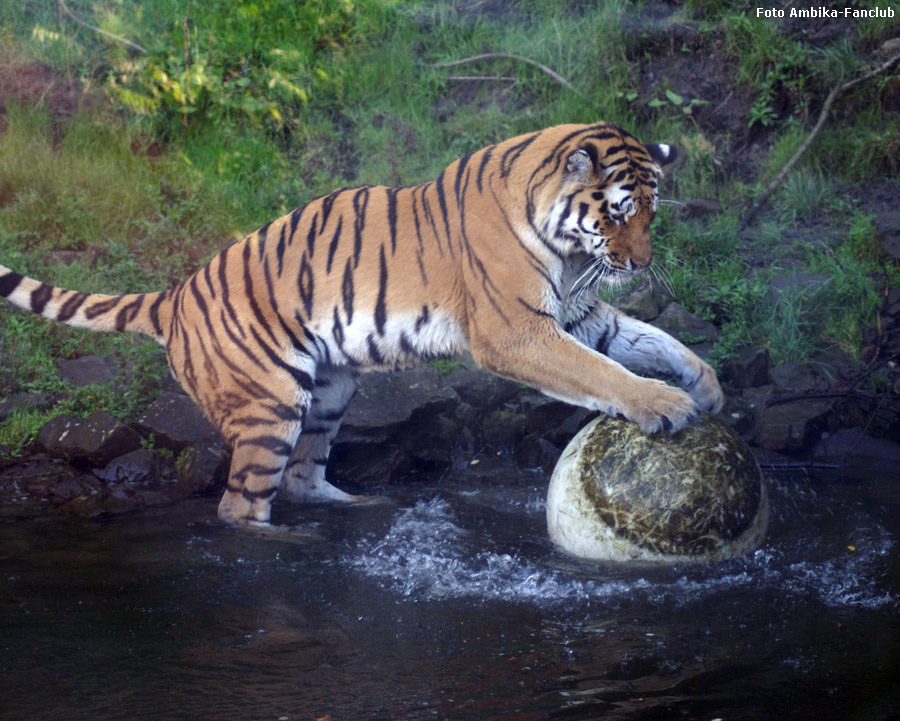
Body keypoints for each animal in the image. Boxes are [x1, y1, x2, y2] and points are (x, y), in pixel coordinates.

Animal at [0, 124, 724, 524]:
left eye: (652, 213)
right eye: (618, 212)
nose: (641, 262)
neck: (570, 250)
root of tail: (175, 294)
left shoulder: (577, 312)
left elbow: (648, 340)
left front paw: (706, 383)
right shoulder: (518, 331)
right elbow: (602, 371)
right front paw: (664, 405)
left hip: (329, 390)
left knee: (302, 476)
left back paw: (359, 508)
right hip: (270, 403)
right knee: (241, 503)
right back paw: (282, 539)